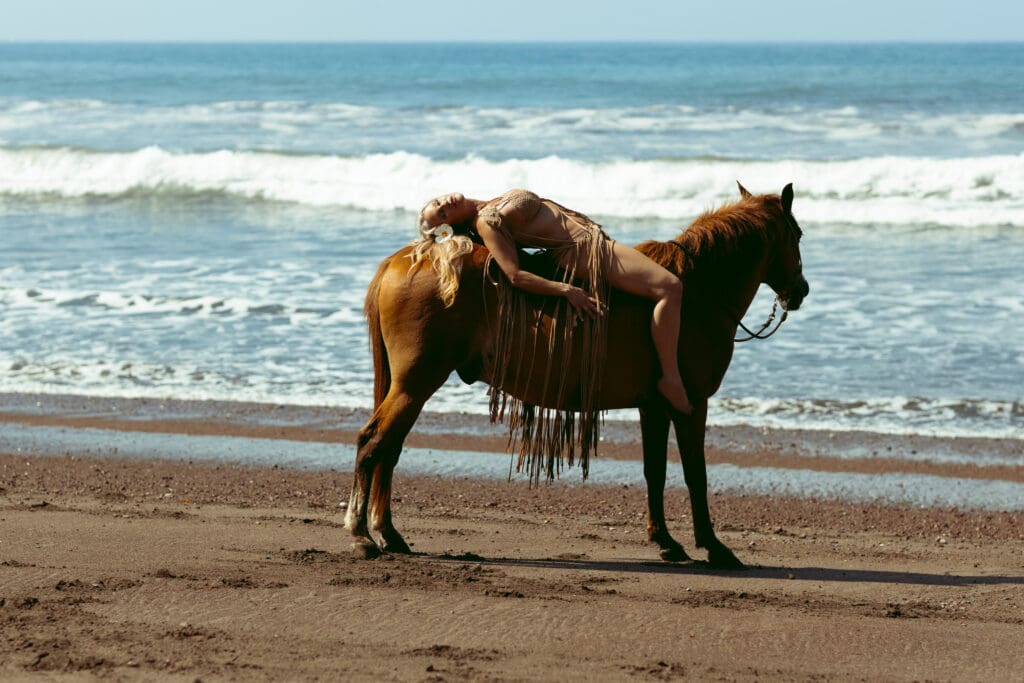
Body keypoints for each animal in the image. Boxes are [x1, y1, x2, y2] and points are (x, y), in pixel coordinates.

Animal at [346, 182, 809, 568]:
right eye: (798, 235)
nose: (801, 291)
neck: (698, 291)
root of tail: (402, 259)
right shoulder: (691, 404)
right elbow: (696, 473)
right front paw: (712, 546)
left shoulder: (653, 407)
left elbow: (655, 471)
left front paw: (665, 542)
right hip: (415, 383)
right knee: (373, 442)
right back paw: (361, 534)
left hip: (410, 386)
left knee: (389, 448)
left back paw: (388, 534)